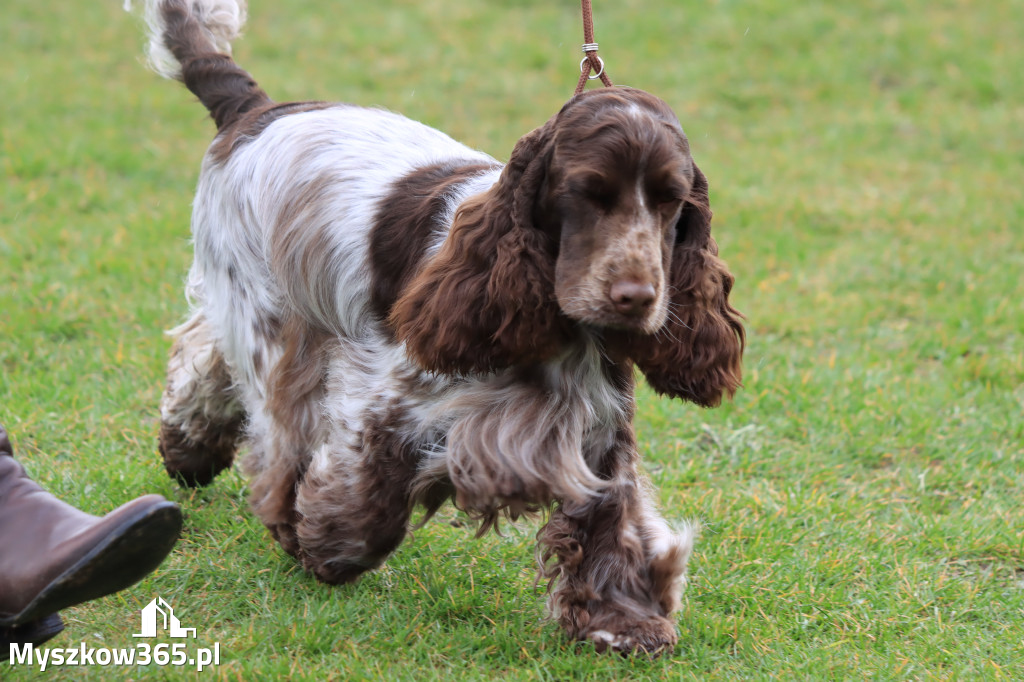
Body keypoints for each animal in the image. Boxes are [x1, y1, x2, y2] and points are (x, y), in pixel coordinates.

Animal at [136, 0, 745, 651]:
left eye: (671, 200)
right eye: (589, 192)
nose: (636, 298)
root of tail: (253, 110)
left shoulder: (596, 428)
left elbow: (613, 520)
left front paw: (622, 622)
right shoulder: (391, 396)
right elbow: (370, 496)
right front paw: (321, 546)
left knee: (204, 349)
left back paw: (188, 451)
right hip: (272, 320)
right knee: (272, 419)